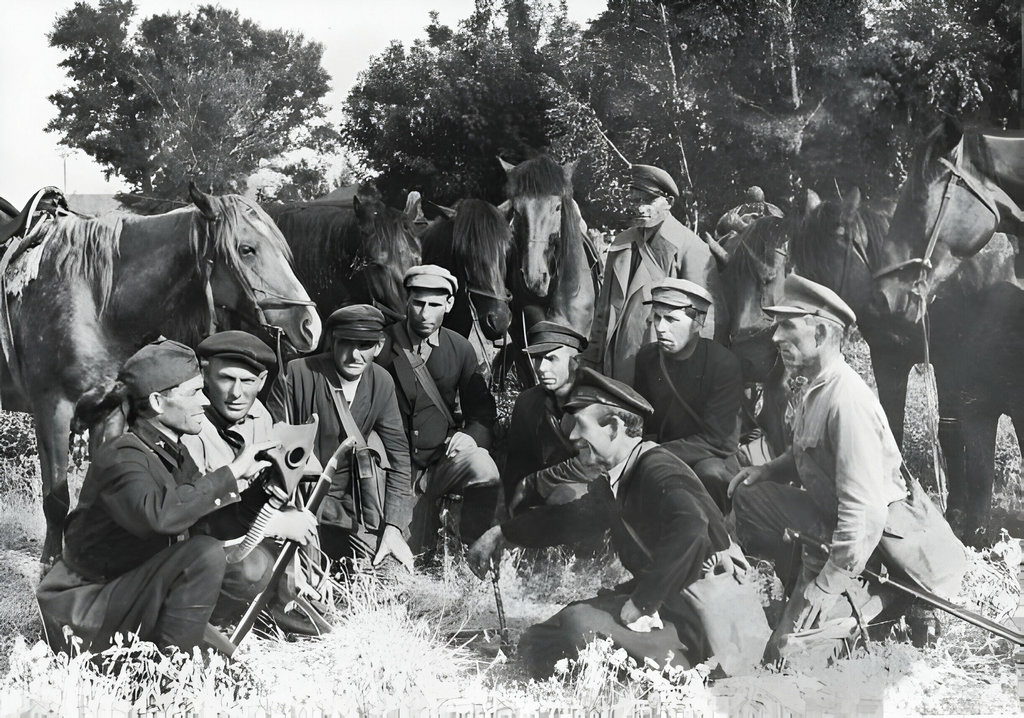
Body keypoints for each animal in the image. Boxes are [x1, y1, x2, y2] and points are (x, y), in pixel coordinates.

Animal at [0, 186, 319, 565]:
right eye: (246, 249)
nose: (310, 326)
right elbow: (56, 501)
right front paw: (51, 565)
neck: (95, 300)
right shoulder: (52, 410)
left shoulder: (108, 412)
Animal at [786, 187, 1019, 540]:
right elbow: (899, 426)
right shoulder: (891, 358)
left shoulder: (950, 365)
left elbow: (949, 432)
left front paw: (956, 514)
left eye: (820, 274)